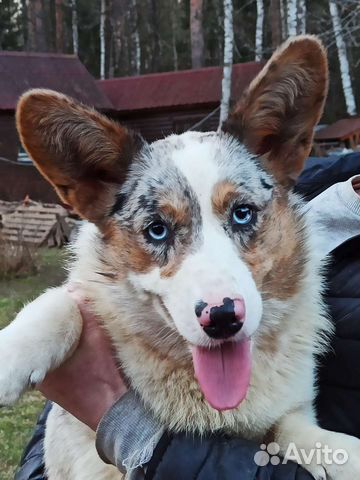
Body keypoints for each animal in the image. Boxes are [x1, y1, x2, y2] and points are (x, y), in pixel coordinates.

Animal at [0, 37, 360, 480]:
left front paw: (342, 452)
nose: (222, 318)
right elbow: (61, 303)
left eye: (243, 213)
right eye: (158, 229)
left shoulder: (289, 415)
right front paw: (11, 354)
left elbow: (302, 434)